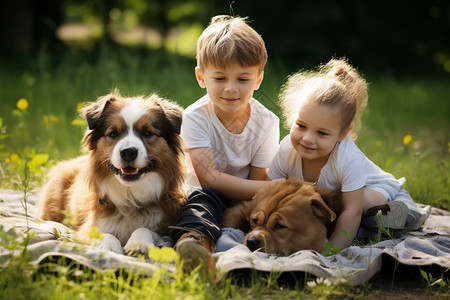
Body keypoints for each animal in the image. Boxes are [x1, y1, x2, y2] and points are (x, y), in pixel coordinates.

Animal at [37, 89, 185, 255]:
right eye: (113, 133)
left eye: (147, 133)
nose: (128, 152)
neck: (130, 196)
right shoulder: (86, 228)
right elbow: (102, 233)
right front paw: (110, 246)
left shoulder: (167, 226)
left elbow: (144, 228)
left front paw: (138, 242)